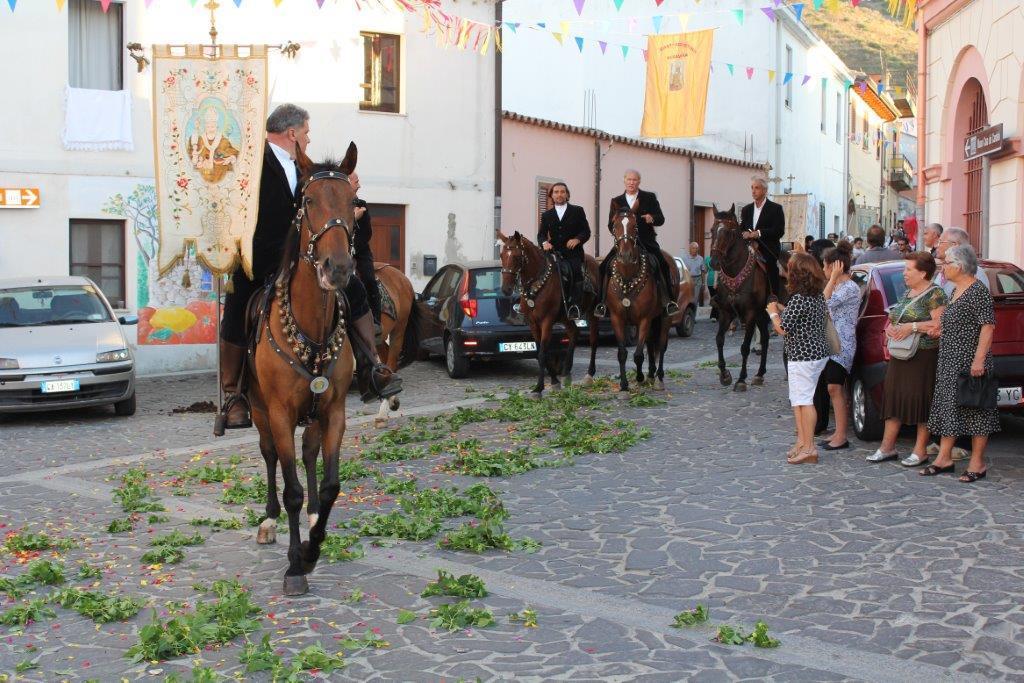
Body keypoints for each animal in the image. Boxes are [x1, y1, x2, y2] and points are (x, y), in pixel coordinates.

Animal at [245, 142, 360, 596]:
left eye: (353, 201)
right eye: (308, 202)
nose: (337, 268)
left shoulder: (334, 411)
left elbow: (330, 485)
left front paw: (313, 547)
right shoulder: (278, 412)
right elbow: (290, 485)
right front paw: (296, 564)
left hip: (313, 416)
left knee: (308, 454)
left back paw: (311, 520)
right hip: (259, 411)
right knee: (270, 455)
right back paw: (269, 519)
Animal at [497, 231, 599, 398]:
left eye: (517, 257)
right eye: (501, 255)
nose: (506, 289)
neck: (536, 284)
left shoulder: (547, 321)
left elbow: (542, 353)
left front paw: (539, 387)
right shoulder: (532, 323)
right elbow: (541, 352)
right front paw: (554, 381)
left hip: (592, 311)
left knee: (593, 340)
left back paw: (589, 374)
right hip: (565, 317)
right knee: (574, 333)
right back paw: (566, 372)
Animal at [605, 208, 676, 394]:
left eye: (635, 227)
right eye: (614, 226)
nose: (625, 255)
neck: (628, 277)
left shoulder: (644, 319)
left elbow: (638, 354)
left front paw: (639, 377)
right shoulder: (617, 318)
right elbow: (623, 353)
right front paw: (624, 385)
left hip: (665, 317)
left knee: (661, 345)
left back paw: (658, 378)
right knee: (651, 344)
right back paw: (650, 374)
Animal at [708, 203, 773, 391]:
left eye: (729, 232)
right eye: (712, 230)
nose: (714, 262)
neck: (735, 272)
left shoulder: (750, 313)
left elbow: (744, 347)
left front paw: (741, 379)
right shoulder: (726, 312)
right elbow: (719, 340)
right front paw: (725, 375)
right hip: (762, 314)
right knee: (765, 338)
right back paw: (759, 374)